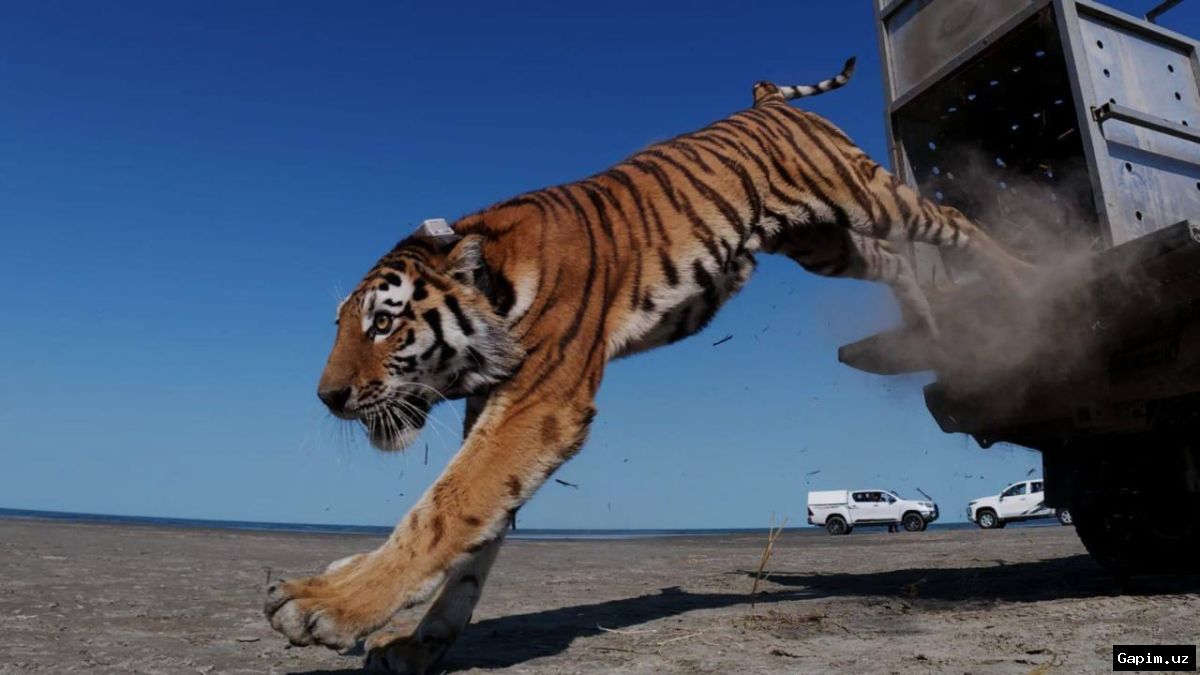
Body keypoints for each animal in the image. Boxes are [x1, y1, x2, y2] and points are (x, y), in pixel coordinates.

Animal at [264, 57, 1030, 671]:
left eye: (383, 323)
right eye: (343, 324)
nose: (327, 396)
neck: (495, 295)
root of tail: (766, 103)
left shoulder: (540, 403)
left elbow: (445, 507)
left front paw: (323, 602)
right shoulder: (499, 408)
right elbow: (479, 532)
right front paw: (418, 642)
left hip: (865, 193)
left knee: (952, 222)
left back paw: (1029, 280)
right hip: (823, 241)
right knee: (893, 261)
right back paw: (926, 322)